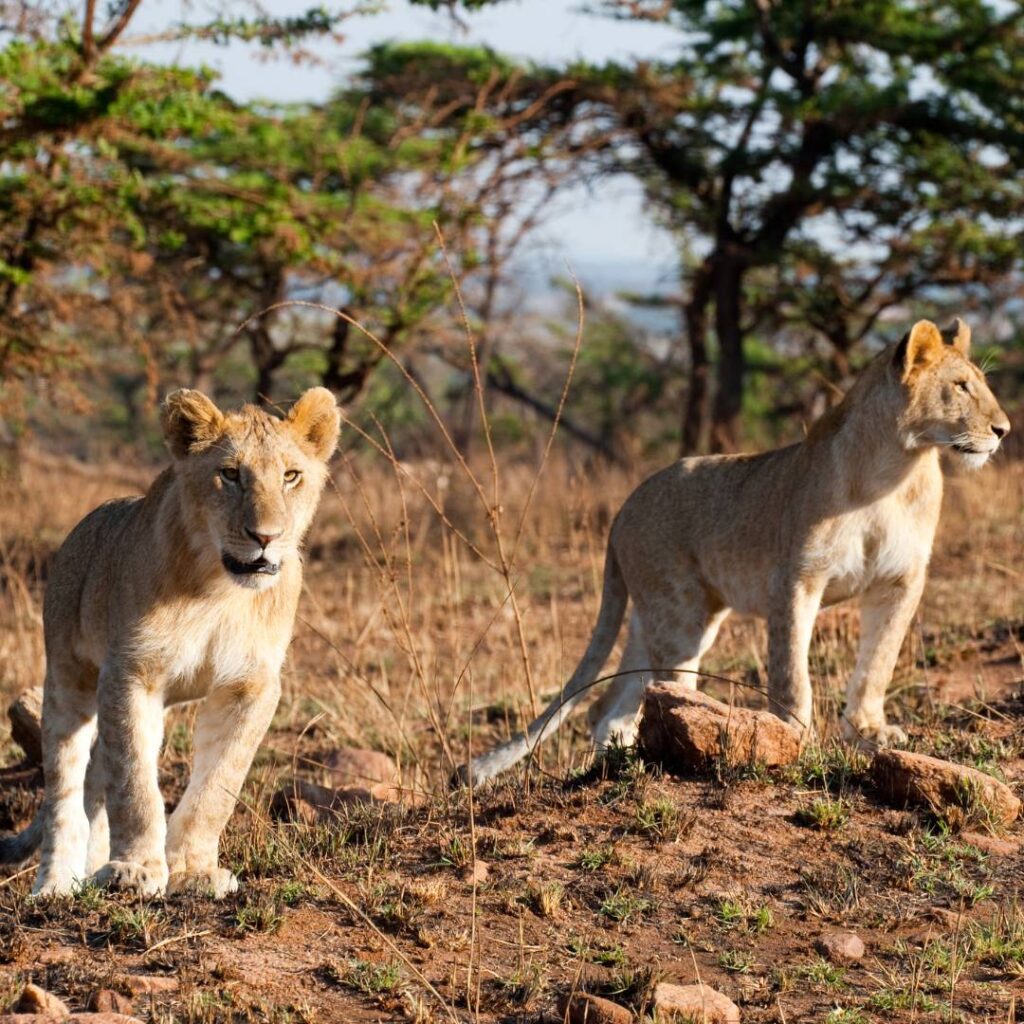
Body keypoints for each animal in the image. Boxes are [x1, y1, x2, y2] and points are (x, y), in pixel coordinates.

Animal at [0, 387, 340, 897]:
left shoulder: (251, 686)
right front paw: (136, 869)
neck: (219, 589)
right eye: (230, 474)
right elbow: (134, 783)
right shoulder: (129, 673)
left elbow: (217, 785)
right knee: (66, 790)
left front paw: (191, 870)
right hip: (67, 677)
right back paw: (57, 885)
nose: (266, 537)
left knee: (99, 774)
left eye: (291, 476)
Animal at [462, 319, 1009, 786]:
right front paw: (793, 734)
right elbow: (791, 670)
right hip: (679, 617)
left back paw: (618, 763)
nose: (1003, 429)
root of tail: (623, 507)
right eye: (961, 385)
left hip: (658, 616)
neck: (896, 468)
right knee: (660, 693)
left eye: (981, 383)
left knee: (610, 706)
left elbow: (879, 662)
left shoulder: (900, 581)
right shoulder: (796, 578)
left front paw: (870, 732)